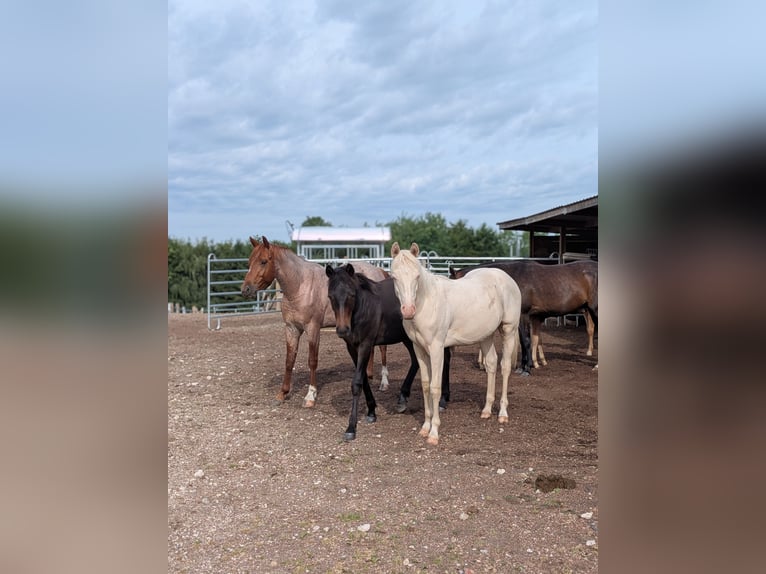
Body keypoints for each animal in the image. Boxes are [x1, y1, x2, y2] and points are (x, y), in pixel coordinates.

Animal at [241, 236, 390, 407]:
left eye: (264, 261)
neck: (299, 286)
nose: (245, 289)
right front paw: (282, 393)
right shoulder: (291, 329)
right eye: (249, 262)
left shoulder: (312, 329)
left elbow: (312, 360)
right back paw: (369, 376)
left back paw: (384, 383)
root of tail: (379, 271)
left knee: (383, 349)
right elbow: (289, 360)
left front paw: (310, 396)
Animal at [325, 264, 452, 440]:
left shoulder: (366, 344)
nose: (343, 330)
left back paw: (443, 400)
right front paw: (371, 411)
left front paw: (351, 427)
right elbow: (363, 378)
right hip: (408, 338)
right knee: (415, 362)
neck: (364, 306)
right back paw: (403, 398)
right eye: (331, 296)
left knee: (445, 360)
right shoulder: (352, 347)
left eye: (351, 294)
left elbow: (357, 382)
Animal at [390, 242, 522, 446]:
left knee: (505, 366)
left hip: (509, 330)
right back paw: (486, 410)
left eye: (417, 276)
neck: (427, 303)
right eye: (394, 277)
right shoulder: (419, 349)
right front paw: (424, 427)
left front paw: (434, 433)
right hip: (486, 335)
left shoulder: (437, 349)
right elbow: (426, 386)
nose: (408, 310)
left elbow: (435, 388)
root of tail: (507, 279)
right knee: (491, 363)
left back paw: (502, 414)